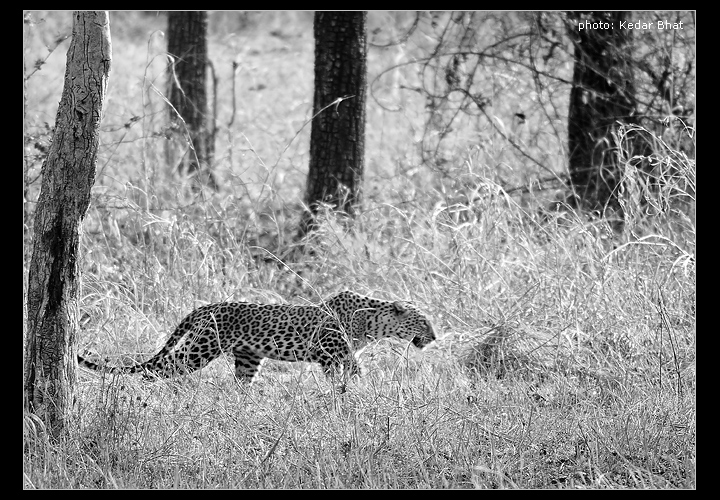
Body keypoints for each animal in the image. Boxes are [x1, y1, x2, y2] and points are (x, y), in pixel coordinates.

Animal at [78, 291, 436, 386]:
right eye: (424, 321)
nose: (434, 337)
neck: (371, 322)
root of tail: (208, 305)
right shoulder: (332, 352)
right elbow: (352, 373)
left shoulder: (337, 357)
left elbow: (346, 375)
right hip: (201, 349)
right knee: (160, 369)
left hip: (248, 358)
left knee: (240, 384)